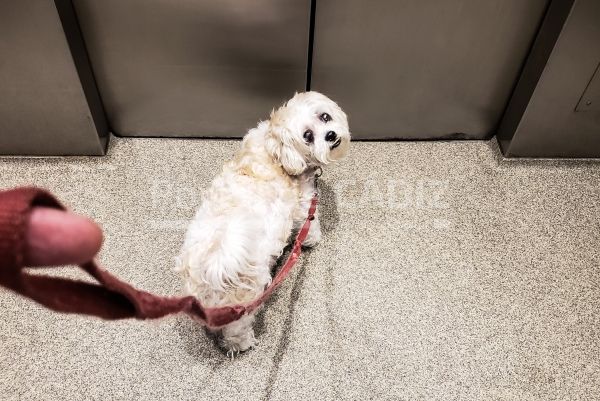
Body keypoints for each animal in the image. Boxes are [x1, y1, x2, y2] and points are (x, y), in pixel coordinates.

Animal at [176, 90, 350, 354]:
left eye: (325, 117)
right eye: (308, 136)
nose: (330, 135)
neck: (274, 147)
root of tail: (214, 265)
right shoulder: (304, 204)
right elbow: (309, 223)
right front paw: (313, 240)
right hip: (244, 300)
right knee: (236, 331)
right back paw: (244, 343)